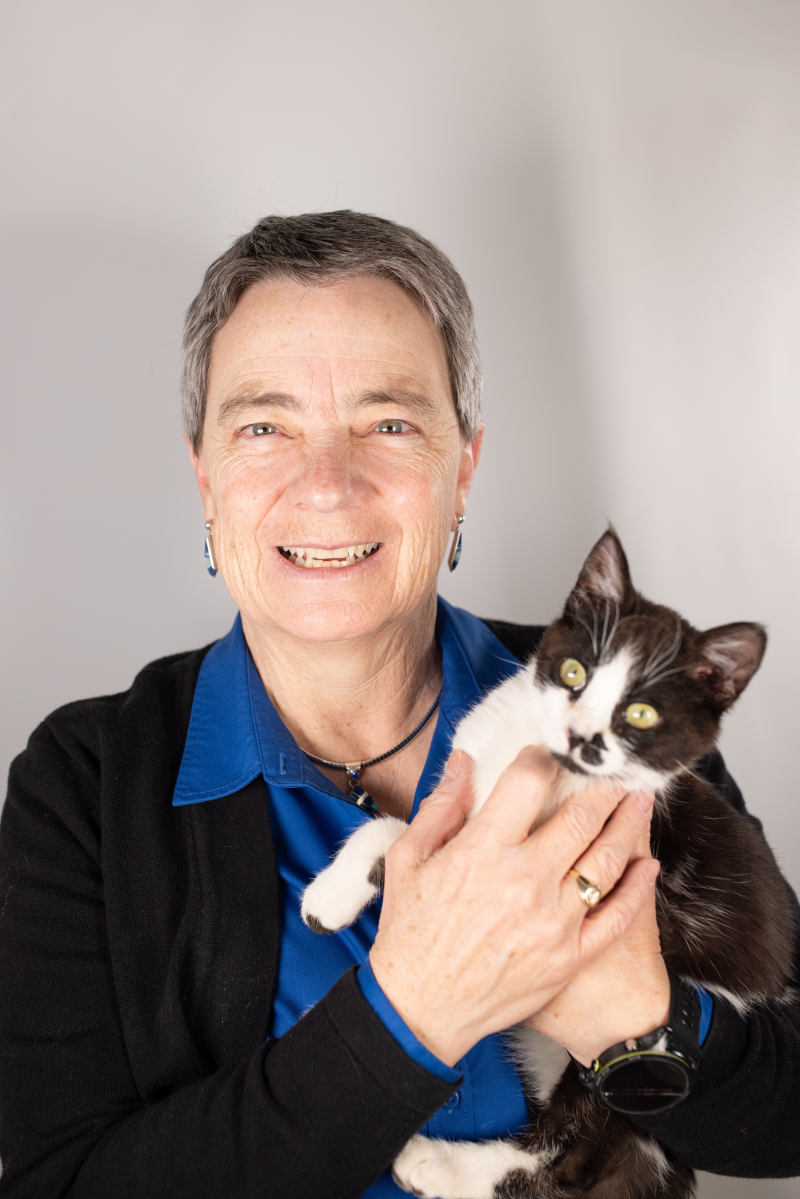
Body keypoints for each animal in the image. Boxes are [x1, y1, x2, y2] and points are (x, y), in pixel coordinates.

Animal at [299, 532, 796, 1199]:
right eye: (573, 673)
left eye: (641, 714)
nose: (582, 737)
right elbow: (407, 832)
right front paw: (334, 892)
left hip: (621, 1066)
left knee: (568, 1153)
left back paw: (437, 1164)